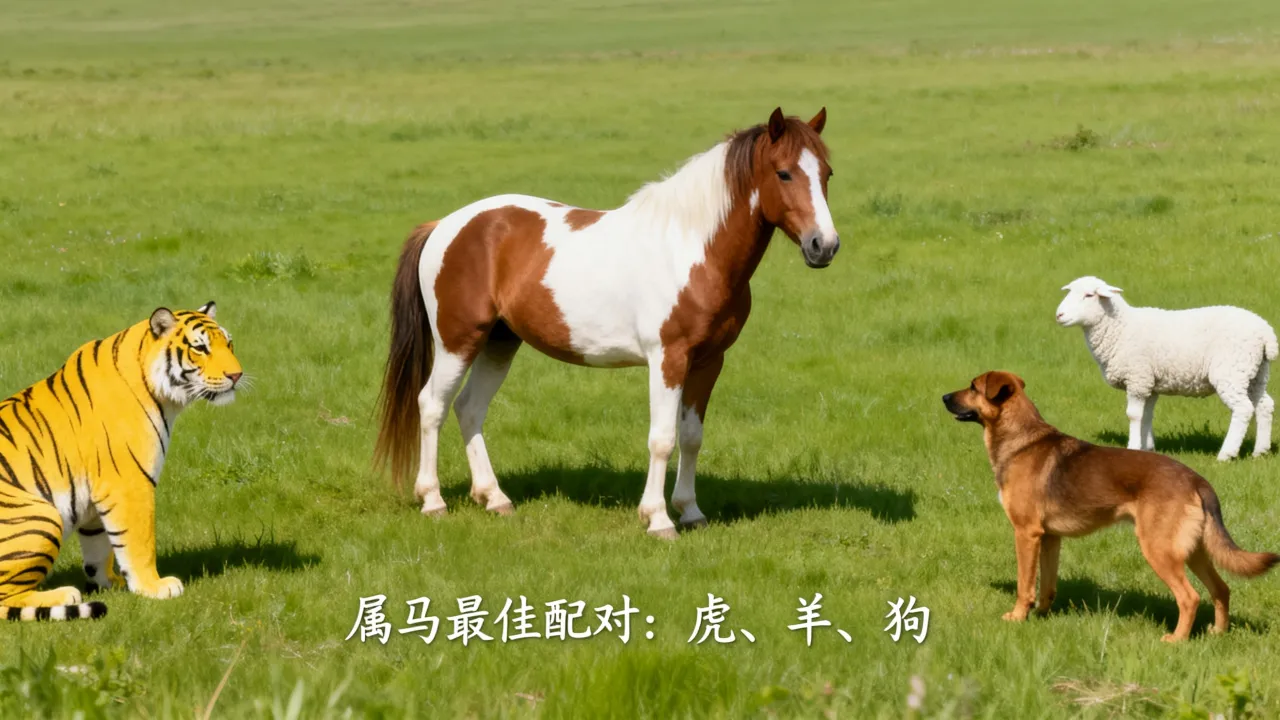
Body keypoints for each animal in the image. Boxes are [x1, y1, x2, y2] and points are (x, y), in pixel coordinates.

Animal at [376, 107, 840, 538]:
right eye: (783, 173)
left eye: (827, 173)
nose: (825, 245)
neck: (692, 249)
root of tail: (444, 225)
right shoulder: (668, 359)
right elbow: (662, 438)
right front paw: (658, 519)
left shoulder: (709, 361)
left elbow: (691, 436)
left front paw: (690, 512)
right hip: (457, 342)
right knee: (431, 405)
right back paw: (433, 500)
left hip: (499, 343)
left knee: (470, 408)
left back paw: (495, 498)